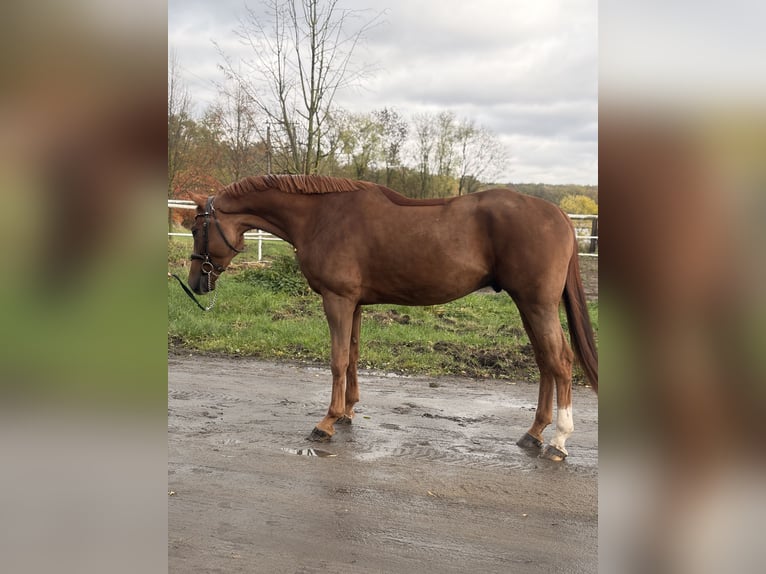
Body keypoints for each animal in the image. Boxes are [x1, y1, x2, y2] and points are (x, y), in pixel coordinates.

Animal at [186, 174, 598, 461]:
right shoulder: (354, 303)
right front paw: (348, 412)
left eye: (195, 228)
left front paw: (326, 422)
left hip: (537, 305)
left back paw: (558, 440)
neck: (321, 216)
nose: (194, 284)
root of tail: (560, 215)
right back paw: (534, 432)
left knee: (560, 361)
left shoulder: (337, 300)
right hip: (528, 305)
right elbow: (352, 356)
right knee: (545, 363)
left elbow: (337, 360)